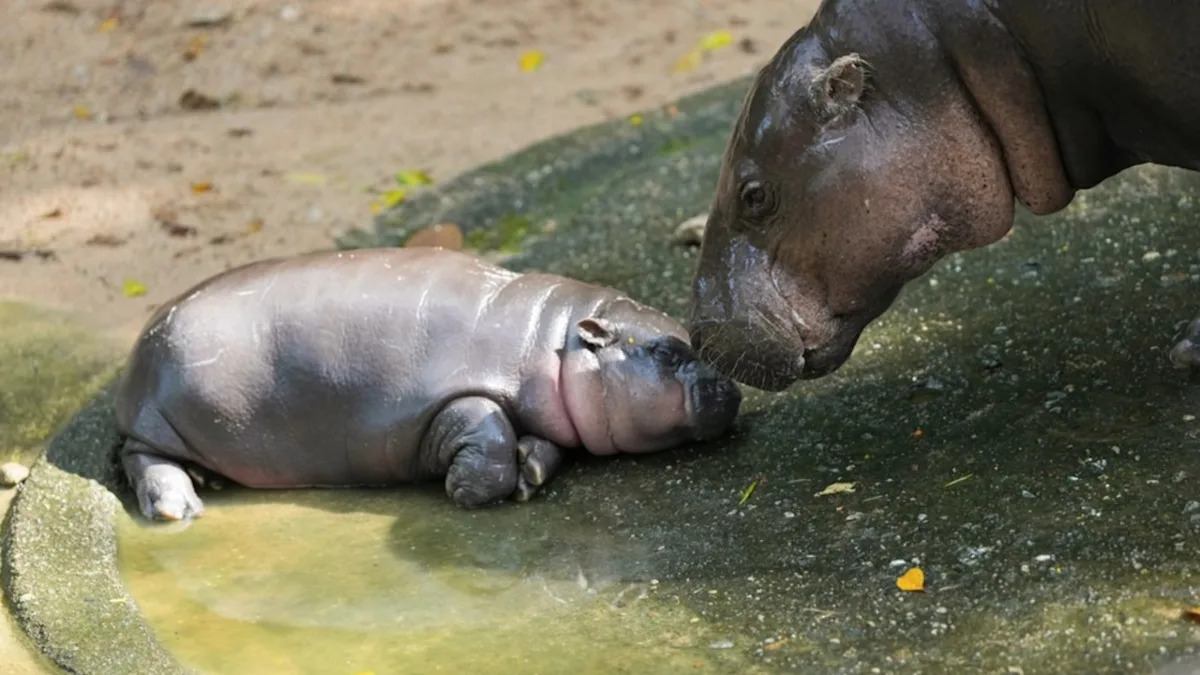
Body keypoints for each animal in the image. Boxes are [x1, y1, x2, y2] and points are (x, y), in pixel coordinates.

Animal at [115, 247, 741, 521]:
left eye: (683, 334)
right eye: (665, 351)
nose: (732, 389)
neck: (551, 340)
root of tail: (141, 344)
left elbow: (543, 445)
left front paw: (531, 470)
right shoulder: (451, 398)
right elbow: (485, 430)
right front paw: (467, 490)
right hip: (160, 420)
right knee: (140, 458)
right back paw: (179, 507)